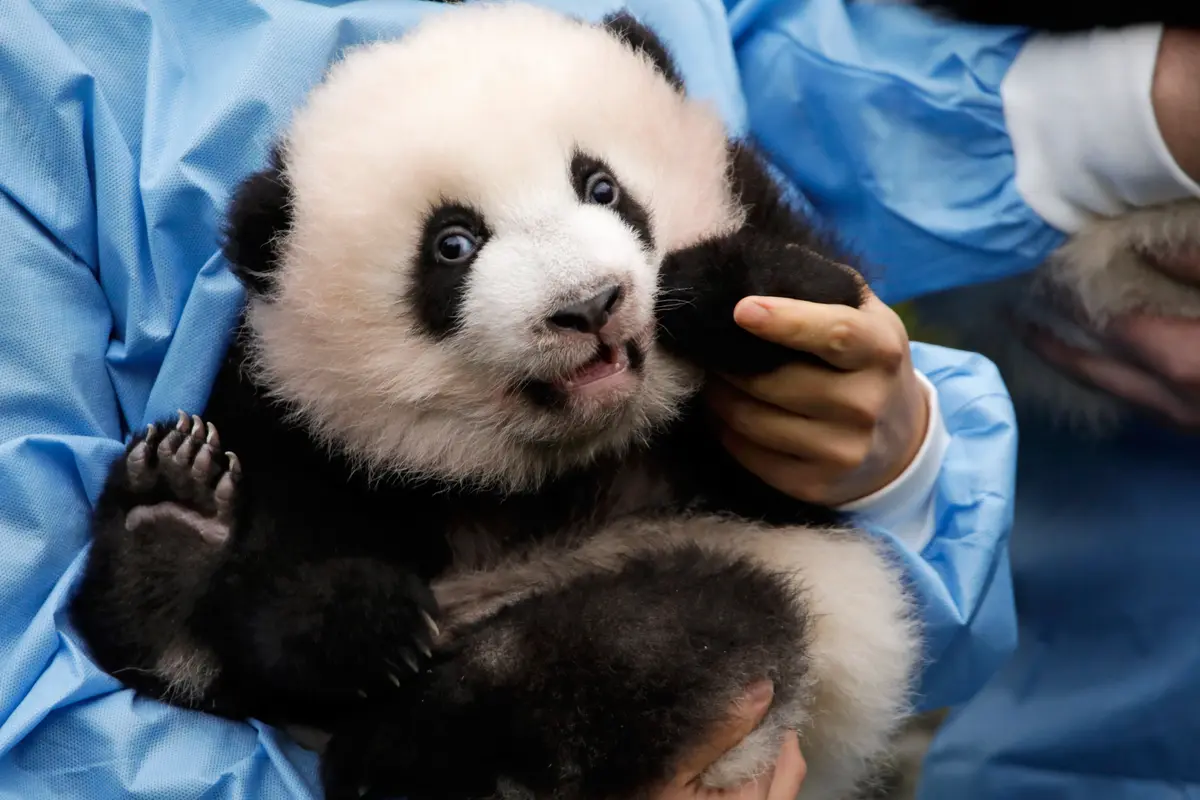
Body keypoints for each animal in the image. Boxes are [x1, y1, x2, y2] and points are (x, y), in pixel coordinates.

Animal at [67, 4, 920, 800]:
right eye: (453, 245)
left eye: (602, 186)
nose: (591, 304)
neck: (558, 462)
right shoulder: (299, 410)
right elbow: (280, 546)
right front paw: (358, 622)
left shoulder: (758, 221)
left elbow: (812, 301)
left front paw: (709, 286)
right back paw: (167, 534)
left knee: (645, 641)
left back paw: (401, 739)